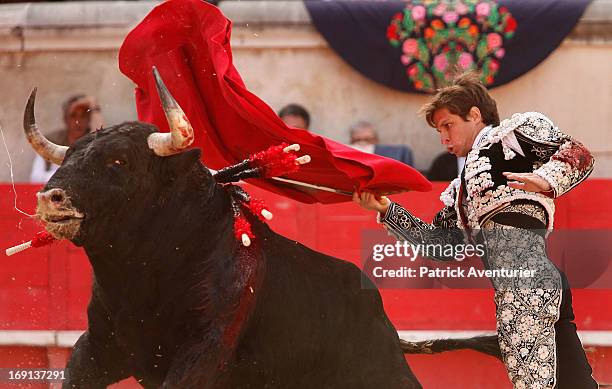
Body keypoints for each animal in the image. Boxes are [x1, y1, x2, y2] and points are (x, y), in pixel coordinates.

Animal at [28, 111, 500, 384]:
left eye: (119, 161)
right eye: (68, 156)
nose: (50, 197)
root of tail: (381, 316)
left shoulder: (203, 353)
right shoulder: (97, 349)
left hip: (380, 371)